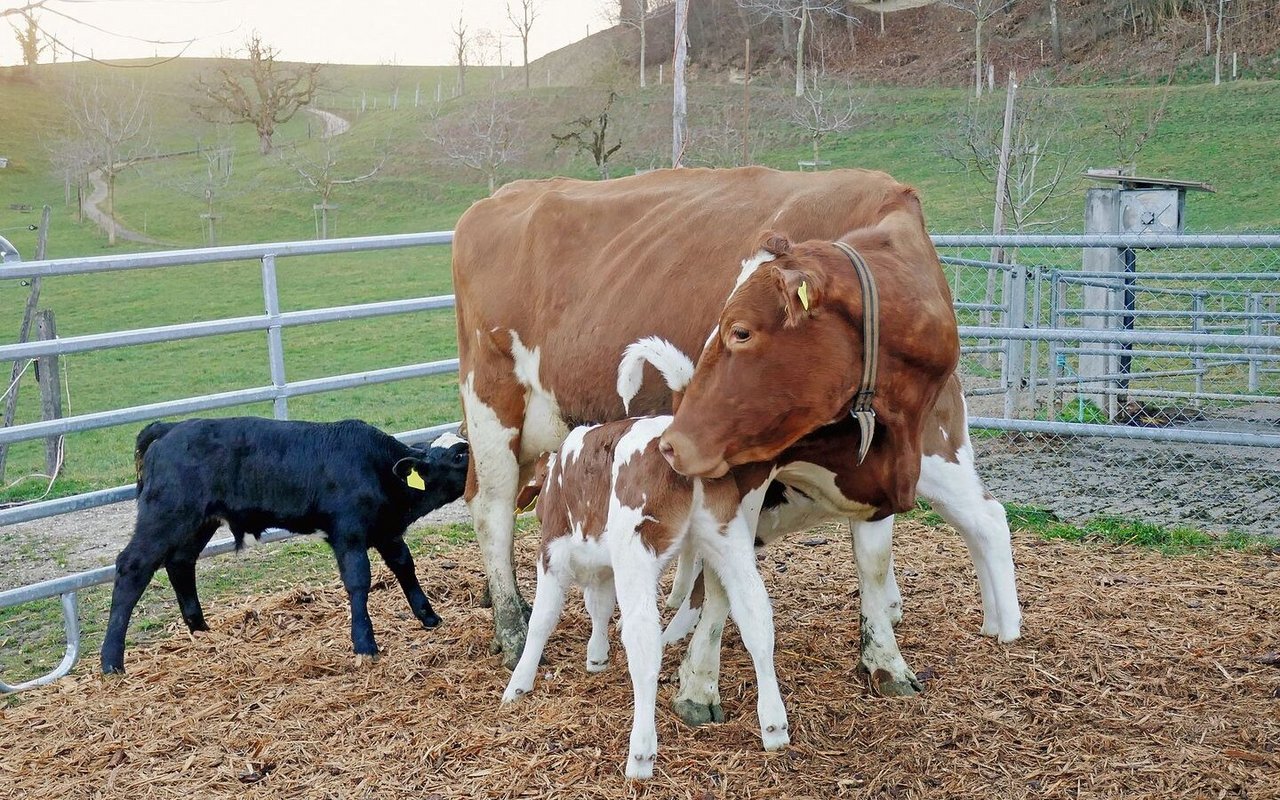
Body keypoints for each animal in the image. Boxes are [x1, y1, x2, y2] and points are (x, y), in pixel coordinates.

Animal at [101, 417, 471, 675]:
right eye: (459, 455)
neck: (376, 467)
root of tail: (169, 427)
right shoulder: (348, 534)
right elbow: (358, 581)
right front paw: (365, 643)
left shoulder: (386, 531)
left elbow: (405, 565)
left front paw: (429, 616)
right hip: (165, 516)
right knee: (132, 567)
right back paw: (111, 662)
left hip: (197, 522)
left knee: (180, 563)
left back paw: (201, 632)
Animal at [450, 165, 1018, 721]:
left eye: (740, 331)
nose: (676, 441)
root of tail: (503, 195)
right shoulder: (745, 470)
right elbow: (723, 581)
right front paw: (698, 685)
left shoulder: (876, 469)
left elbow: (873, 566)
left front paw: (885, 663)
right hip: (492, 403)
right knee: (492, 507)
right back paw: (512, 627)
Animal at [501, 414, 783, 778]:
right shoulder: (603, 565)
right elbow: (599, 607)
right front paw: (597, 656)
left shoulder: (552, 552)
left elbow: (542, 620)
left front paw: (519, 682)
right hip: (728, 535)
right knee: (756, 617)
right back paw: (775, 725)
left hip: (635, 551)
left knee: (644, 641)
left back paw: (641, 753)